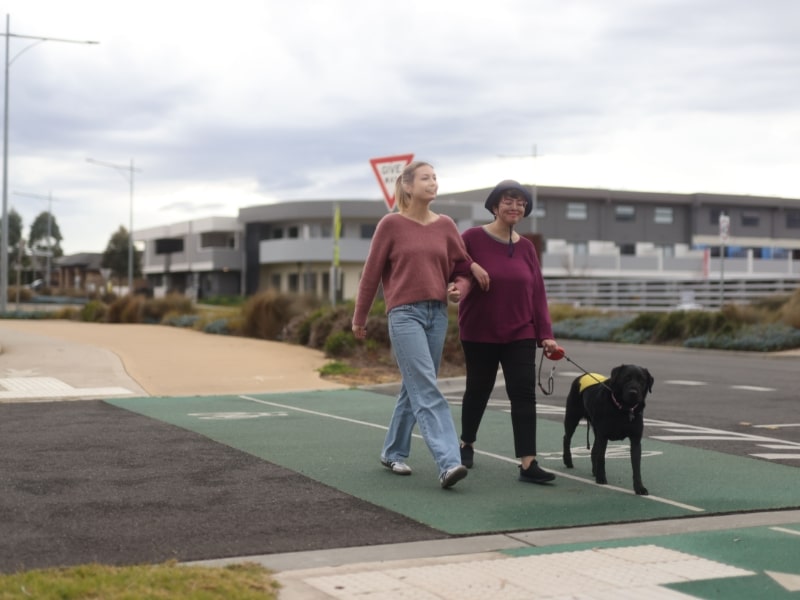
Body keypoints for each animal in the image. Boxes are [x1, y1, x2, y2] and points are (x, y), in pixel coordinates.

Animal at [564, 364, 656, 494]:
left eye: (642, 380)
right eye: (626, 378)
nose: (633, 392)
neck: (623, 409)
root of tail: (581, 375)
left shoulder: (636, 439)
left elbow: (636, 466)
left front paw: (639, 487)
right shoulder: (603, 435)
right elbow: (602, 457)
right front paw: (601, 478)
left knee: (593, 449)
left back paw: (594, 470)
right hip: (572, 416)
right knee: (567, 438)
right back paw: (568, 460)